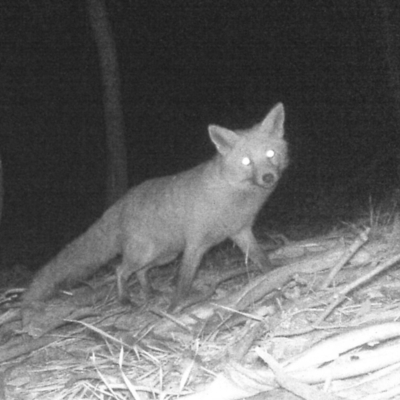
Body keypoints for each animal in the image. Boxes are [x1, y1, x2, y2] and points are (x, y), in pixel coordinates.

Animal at [21, 103, 288, 316]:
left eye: (270, 154)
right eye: (246, 162)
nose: (268, 177)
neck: (233, 196)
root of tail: (119, 203)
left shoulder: (241, 232)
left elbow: (262, 259)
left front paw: (274, 277)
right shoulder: (195, 244)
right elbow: (183, 281)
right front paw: (174, 309)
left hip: (164, 255)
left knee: (140, 273)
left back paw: (150, 293)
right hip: (147, 252)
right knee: (120, 270)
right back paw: (125, 299)